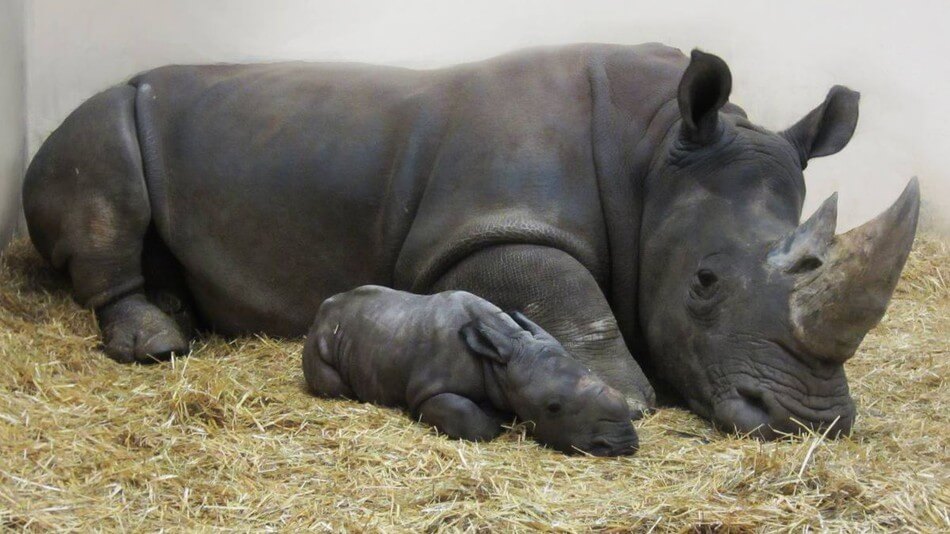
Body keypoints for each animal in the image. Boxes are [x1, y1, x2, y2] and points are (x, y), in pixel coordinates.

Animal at [22, 44, 920, 440]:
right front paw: (626, 396)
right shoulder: (479, 228)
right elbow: (566, 288)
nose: (809, 422)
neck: (654, 151)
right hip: (92, 121)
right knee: (104, 170)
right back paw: (156, 344)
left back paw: (179, 315)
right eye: (702, 282)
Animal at [304, 286, 640, 458]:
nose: (622, 445)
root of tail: (322, 308)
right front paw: (495, 419)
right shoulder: (428, 392)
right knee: (334, 386)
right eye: (553, 407)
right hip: (321, 336)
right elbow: (474, 423)